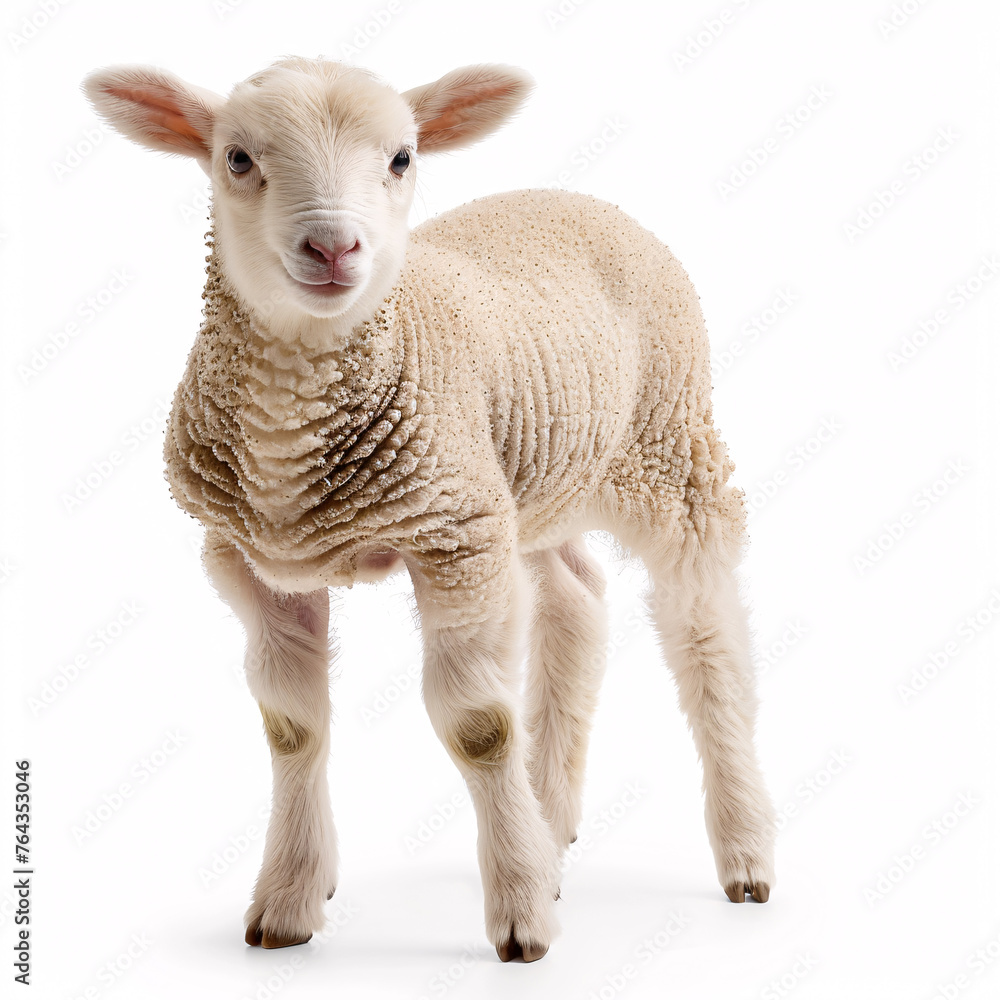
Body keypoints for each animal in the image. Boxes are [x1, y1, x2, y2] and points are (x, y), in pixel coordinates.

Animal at [82, 57, 776, 962]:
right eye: (237, 157)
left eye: (402, 158)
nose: (333, 247)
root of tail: (579, 198)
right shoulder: (253, 561)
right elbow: (292, 726)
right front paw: (290, 900)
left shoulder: (455, 541)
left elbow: (479, 727)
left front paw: (521, 915)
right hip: (527, 480)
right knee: (577, 602)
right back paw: (550, 827)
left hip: (667, 448)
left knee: (707, 634)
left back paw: (744, 850)